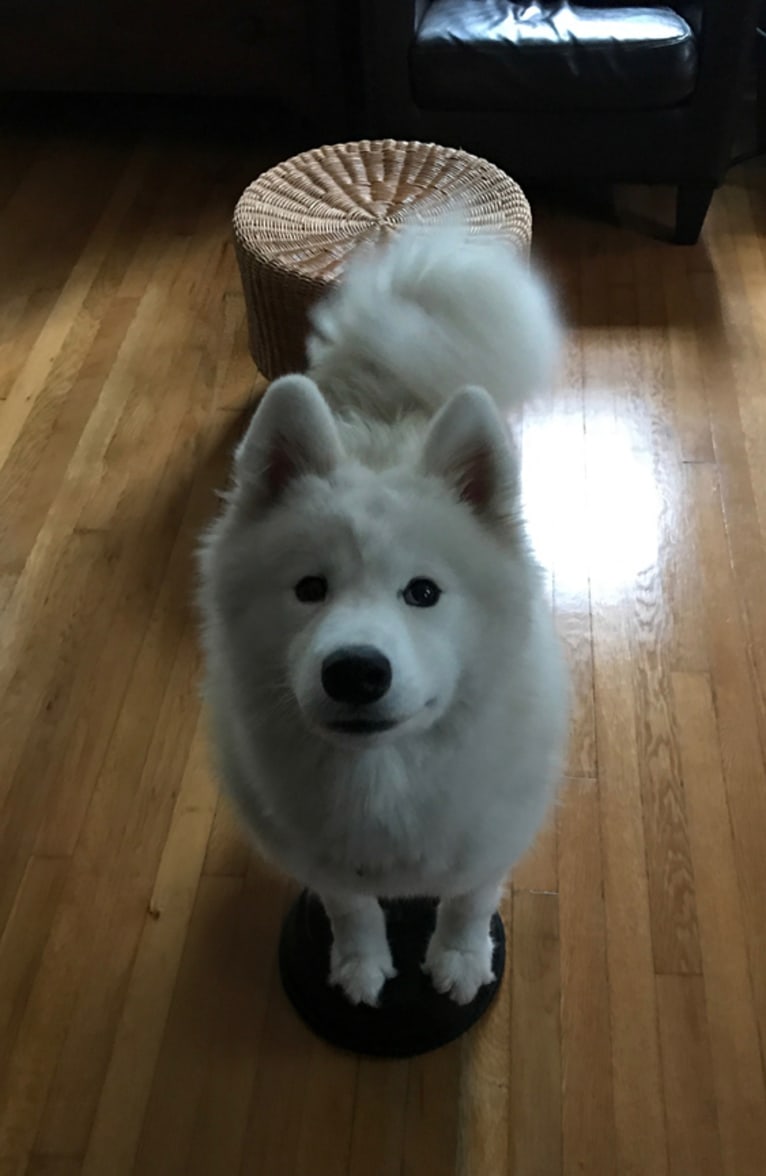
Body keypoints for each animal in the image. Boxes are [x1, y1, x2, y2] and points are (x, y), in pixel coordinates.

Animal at [197, 216, 569, 1006]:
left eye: (423, 593)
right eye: (310, 589)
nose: (356, 672)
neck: (382, 772)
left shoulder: (490, 838)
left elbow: (467, 901)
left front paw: (459, 959)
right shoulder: (318, 858)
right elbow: (351, 908)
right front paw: (361, 964)